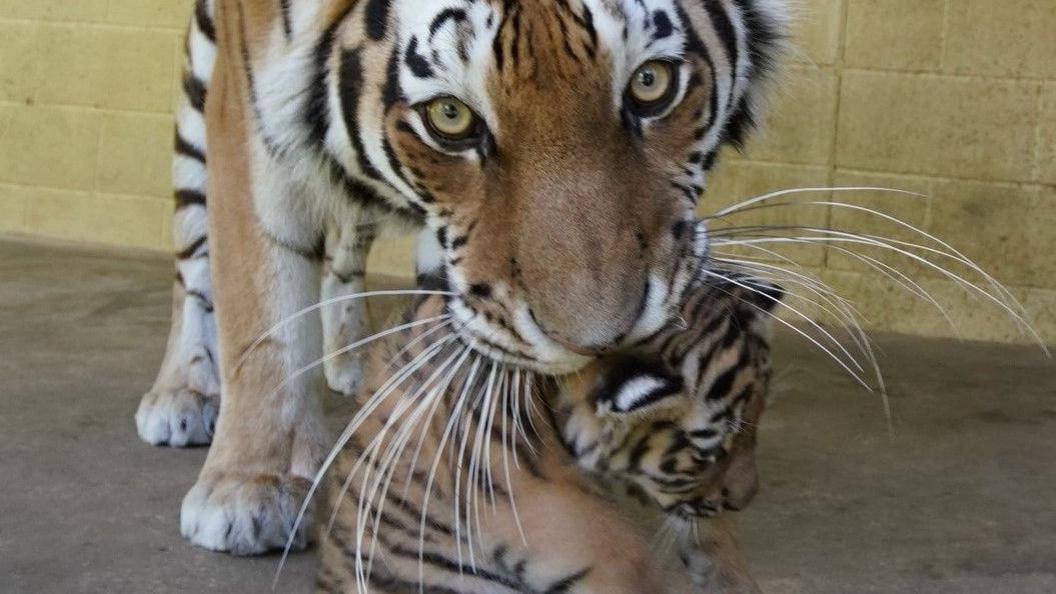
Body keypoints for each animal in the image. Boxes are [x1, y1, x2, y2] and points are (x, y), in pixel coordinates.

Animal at [136, 0, 789, 553]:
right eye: (449, 117)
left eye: (650, 83)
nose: (600, 342)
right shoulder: (254, 109)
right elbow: (262, 309)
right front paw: (254, 486)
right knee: (194, 248)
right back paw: (182, 392)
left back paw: (351, 361)